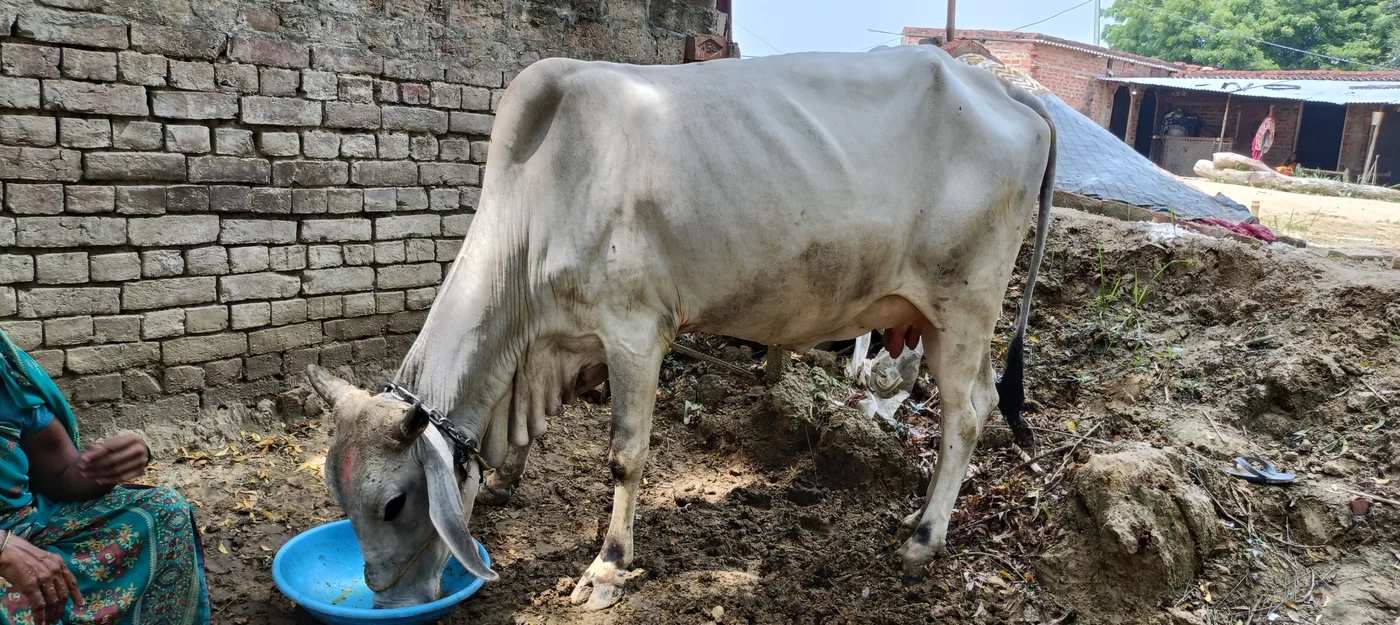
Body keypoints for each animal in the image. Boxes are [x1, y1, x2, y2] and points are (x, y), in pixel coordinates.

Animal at [304, 43, 1055, 610]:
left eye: (396, 503)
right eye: (339, 498)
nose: (387, 600)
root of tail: (1004, 89)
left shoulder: (636, 331)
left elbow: (625, 454)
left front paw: (607, 566)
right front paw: (507, 481)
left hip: (964, 307)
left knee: (968, 414)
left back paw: (924, 538)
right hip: (938, 320)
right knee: (971, 407)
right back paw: (916, 514)